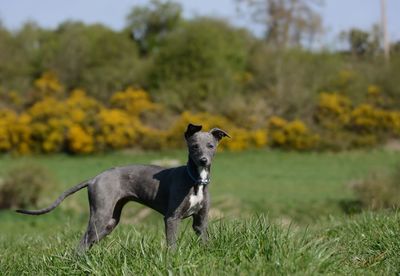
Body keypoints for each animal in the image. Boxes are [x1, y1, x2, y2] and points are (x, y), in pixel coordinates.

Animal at [17, 124, 230, 251]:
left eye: (211, 146)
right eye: (194, 146)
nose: (203, 160)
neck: (195, 180)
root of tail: (94, 178)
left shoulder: (200, 222)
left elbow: (205, 241)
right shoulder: (172, 218)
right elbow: (172, 246)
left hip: (109, 222)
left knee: (86, 243)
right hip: (101, 215)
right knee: (81, 244)